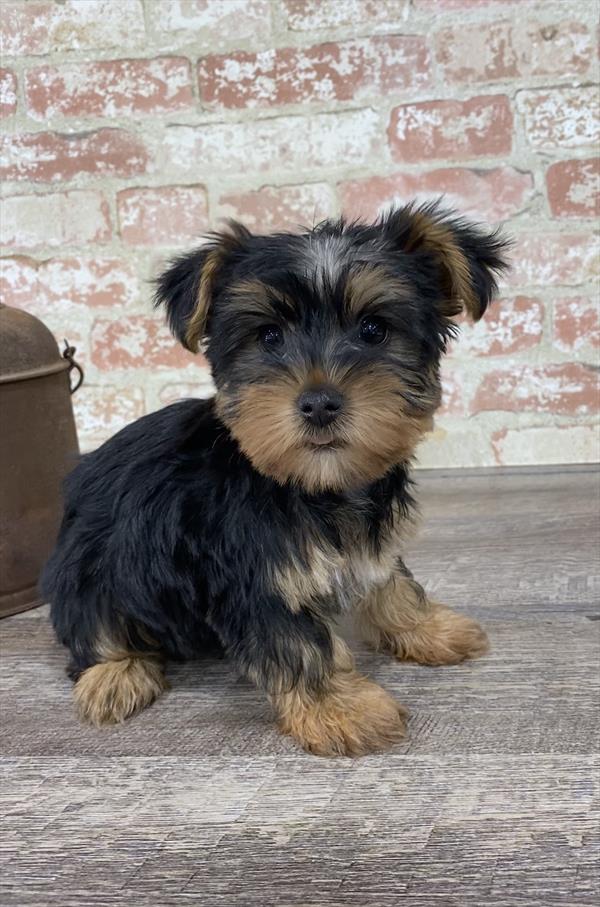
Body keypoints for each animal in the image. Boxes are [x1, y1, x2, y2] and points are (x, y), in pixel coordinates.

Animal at [42, 204, 508, 760]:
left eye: (374, 329)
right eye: (268, 337)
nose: (320, 403)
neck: (316, 484)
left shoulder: (369, 540)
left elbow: (391, 580)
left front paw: (427, 628)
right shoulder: (254, 576)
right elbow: (298, 642)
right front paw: (341, 710)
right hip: (89, 569)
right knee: (94, 627)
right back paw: (114, 675)